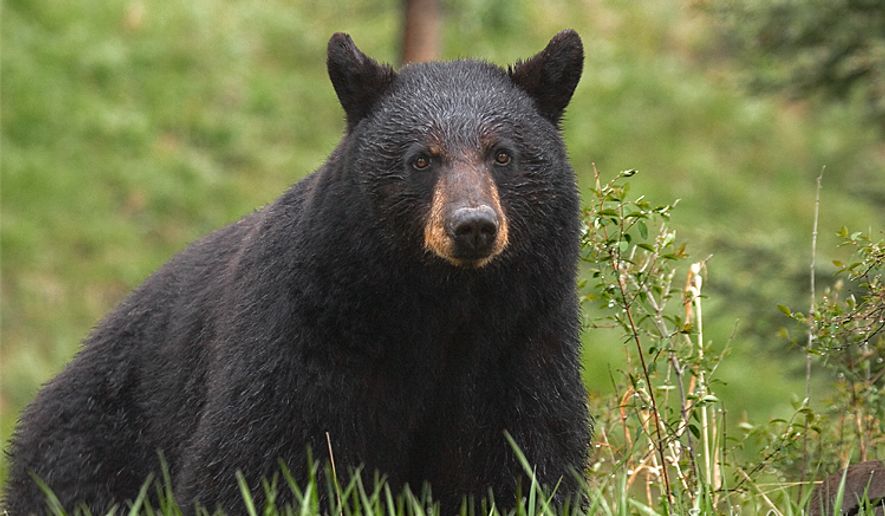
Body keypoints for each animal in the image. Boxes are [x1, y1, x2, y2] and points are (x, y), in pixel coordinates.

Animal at [4, 30, 590, 514]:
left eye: (503, 155)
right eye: (421, 158)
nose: (472, 226)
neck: (439, 304)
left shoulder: (521, 341)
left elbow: (526, 452)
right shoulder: (303, 334)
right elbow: (258, 457)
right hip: (96, 443)